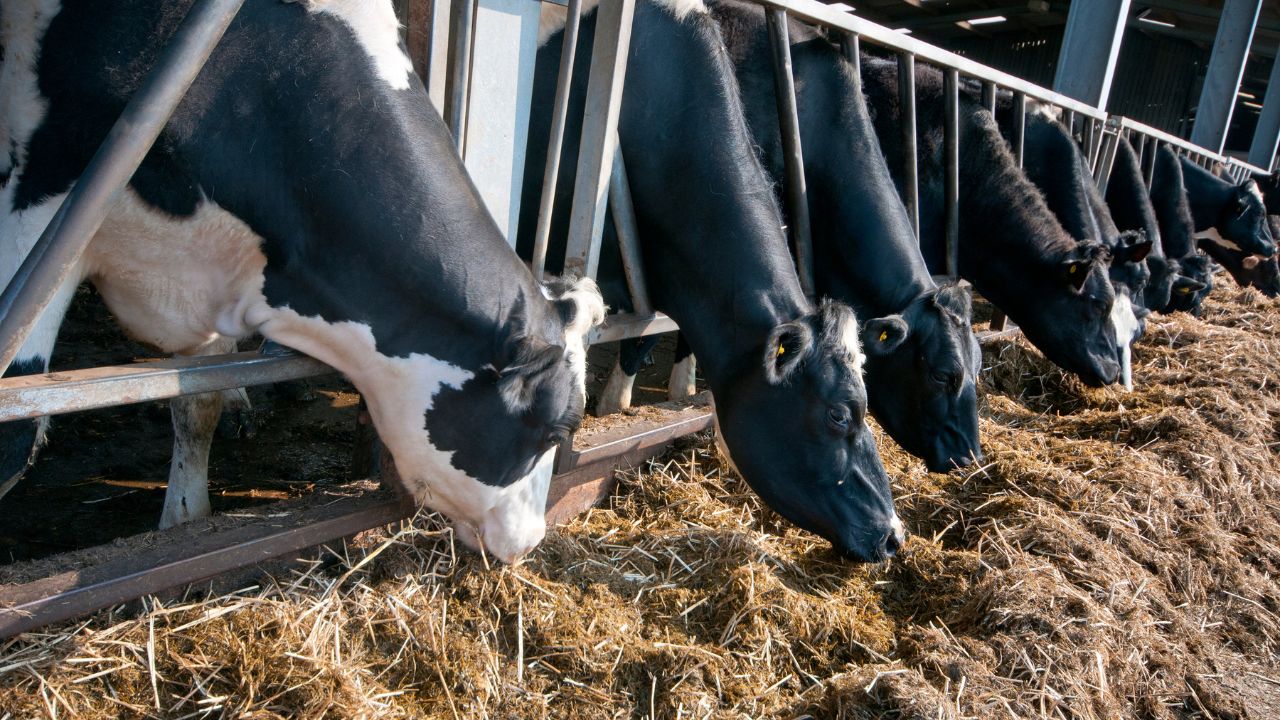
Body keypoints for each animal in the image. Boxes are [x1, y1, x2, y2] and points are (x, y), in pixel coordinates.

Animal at [0, 0, 608, 564]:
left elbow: (198, 404)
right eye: (556, 430)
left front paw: (183, 521)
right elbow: (17, 429)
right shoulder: (44, 197)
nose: (533, 540)